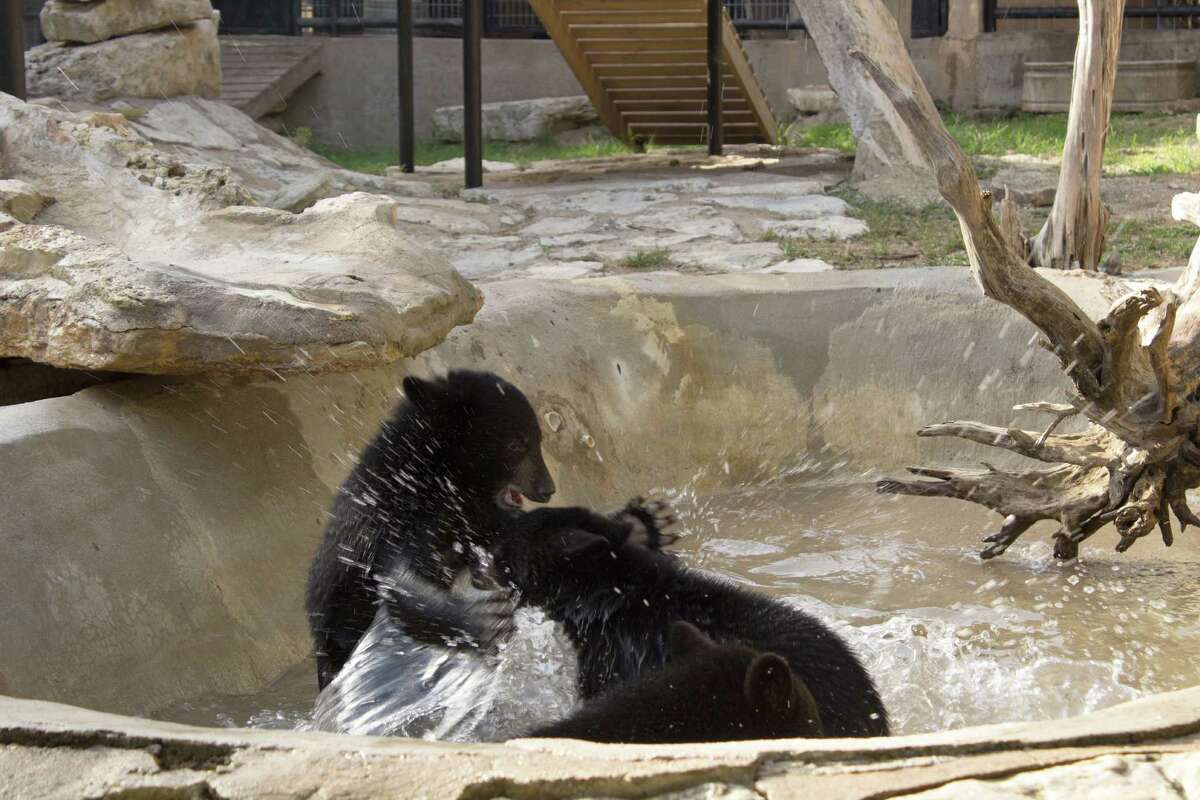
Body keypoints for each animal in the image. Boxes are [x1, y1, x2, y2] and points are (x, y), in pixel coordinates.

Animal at [304, 369, 556, 690]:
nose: (547, 488)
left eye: (538, 440)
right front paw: (489, 620)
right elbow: (402, 576)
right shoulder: (400, 516)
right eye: (517, 444)